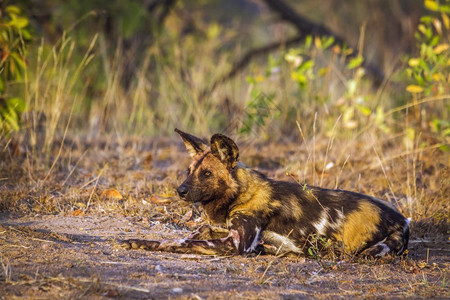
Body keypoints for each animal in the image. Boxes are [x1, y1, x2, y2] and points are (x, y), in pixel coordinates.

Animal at [122, 129, 408, 258]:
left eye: (207, 174)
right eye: (189, 170)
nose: (180, 191)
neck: (240, 194)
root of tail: (403, 220)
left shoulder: (237, 244)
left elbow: (180, 241)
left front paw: (144, 242)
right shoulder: (229, 232)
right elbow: (199, 231)